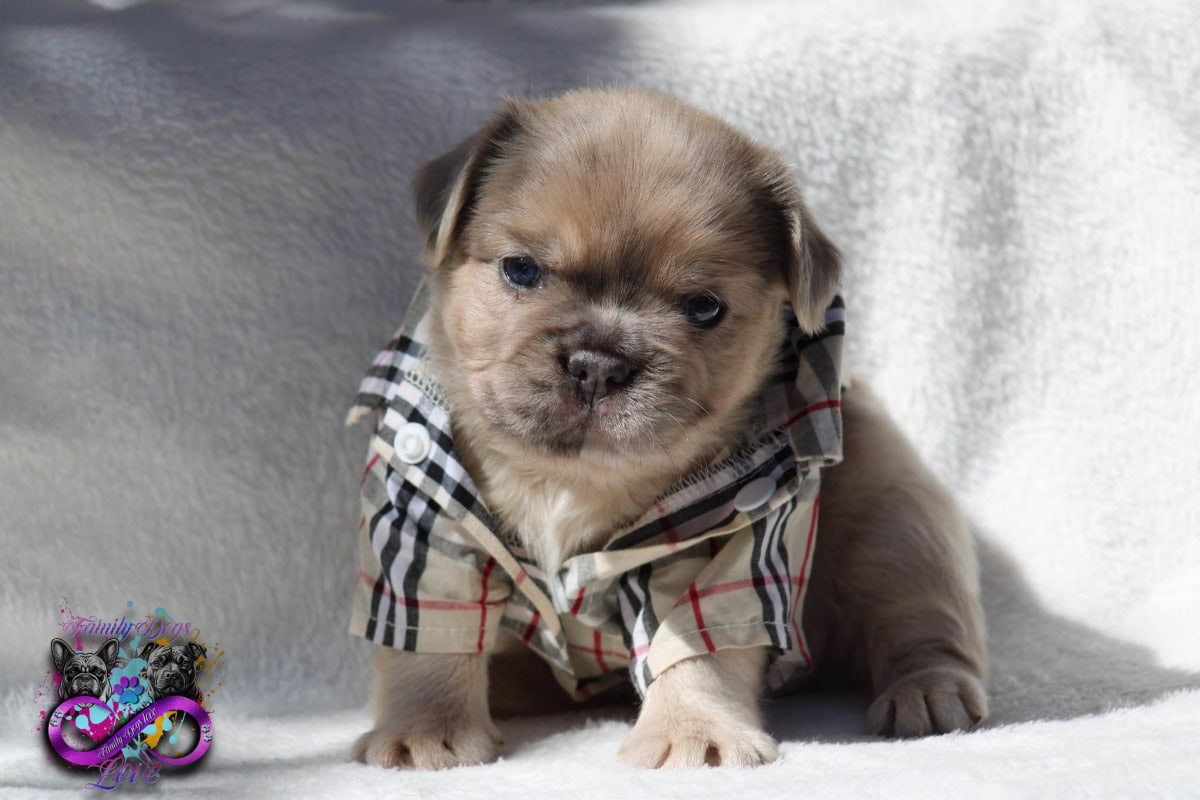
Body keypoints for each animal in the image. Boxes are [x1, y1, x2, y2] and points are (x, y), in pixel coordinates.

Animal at [350, 87, 988, 767]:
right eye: (520, 270)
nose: (598, 364)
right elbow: (426, 644)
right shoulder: (424, 515)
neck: (569, 479)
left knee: (920, 621)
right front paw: (426, 731)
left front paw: (693, 731)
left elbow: (695, 649)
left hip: (899, 525)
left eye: (704, 308)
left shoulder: (718, 544)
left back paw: (929, 696)